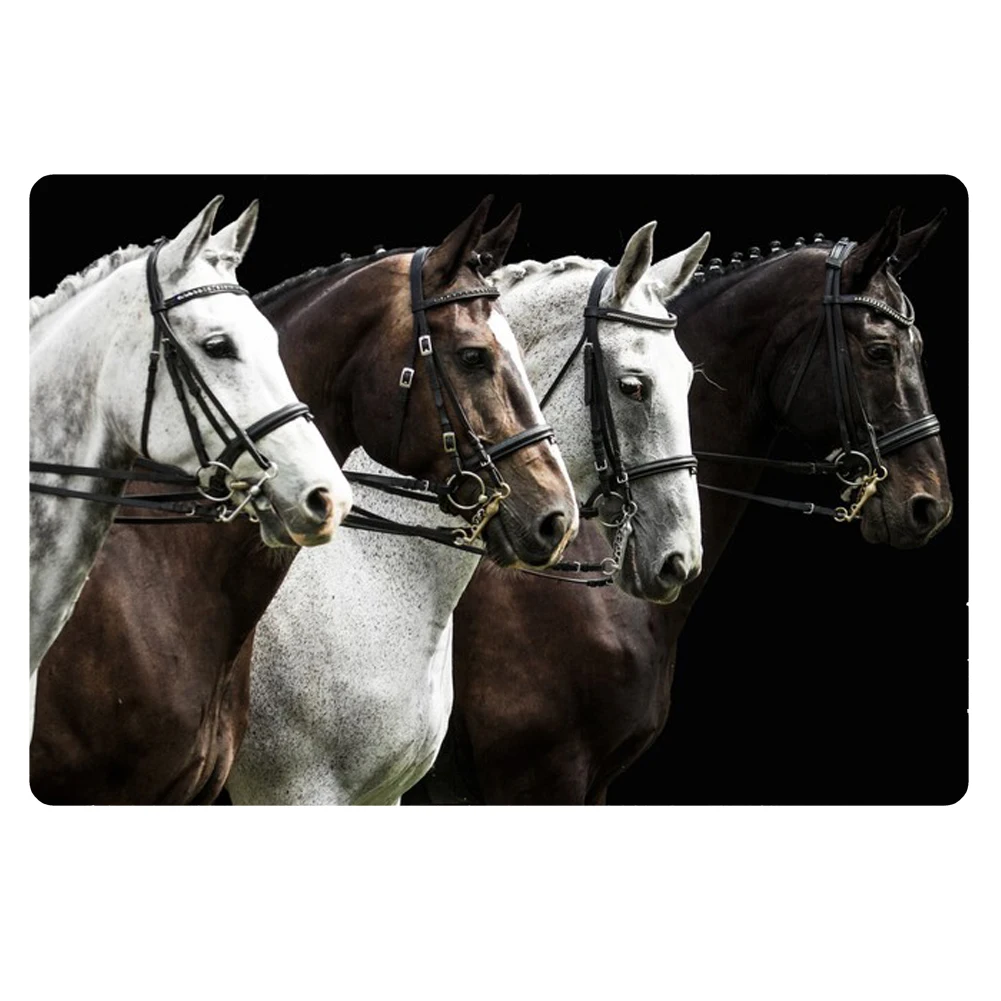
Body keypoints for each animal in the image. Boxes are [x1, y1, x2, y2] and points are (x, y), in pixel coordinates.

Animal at [226, 220, 709, 804]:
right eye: (633, 386)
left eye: (688, 380)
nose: (681, 559)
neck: (367, 575)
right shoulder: (296, 790)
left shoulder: (385, 794)